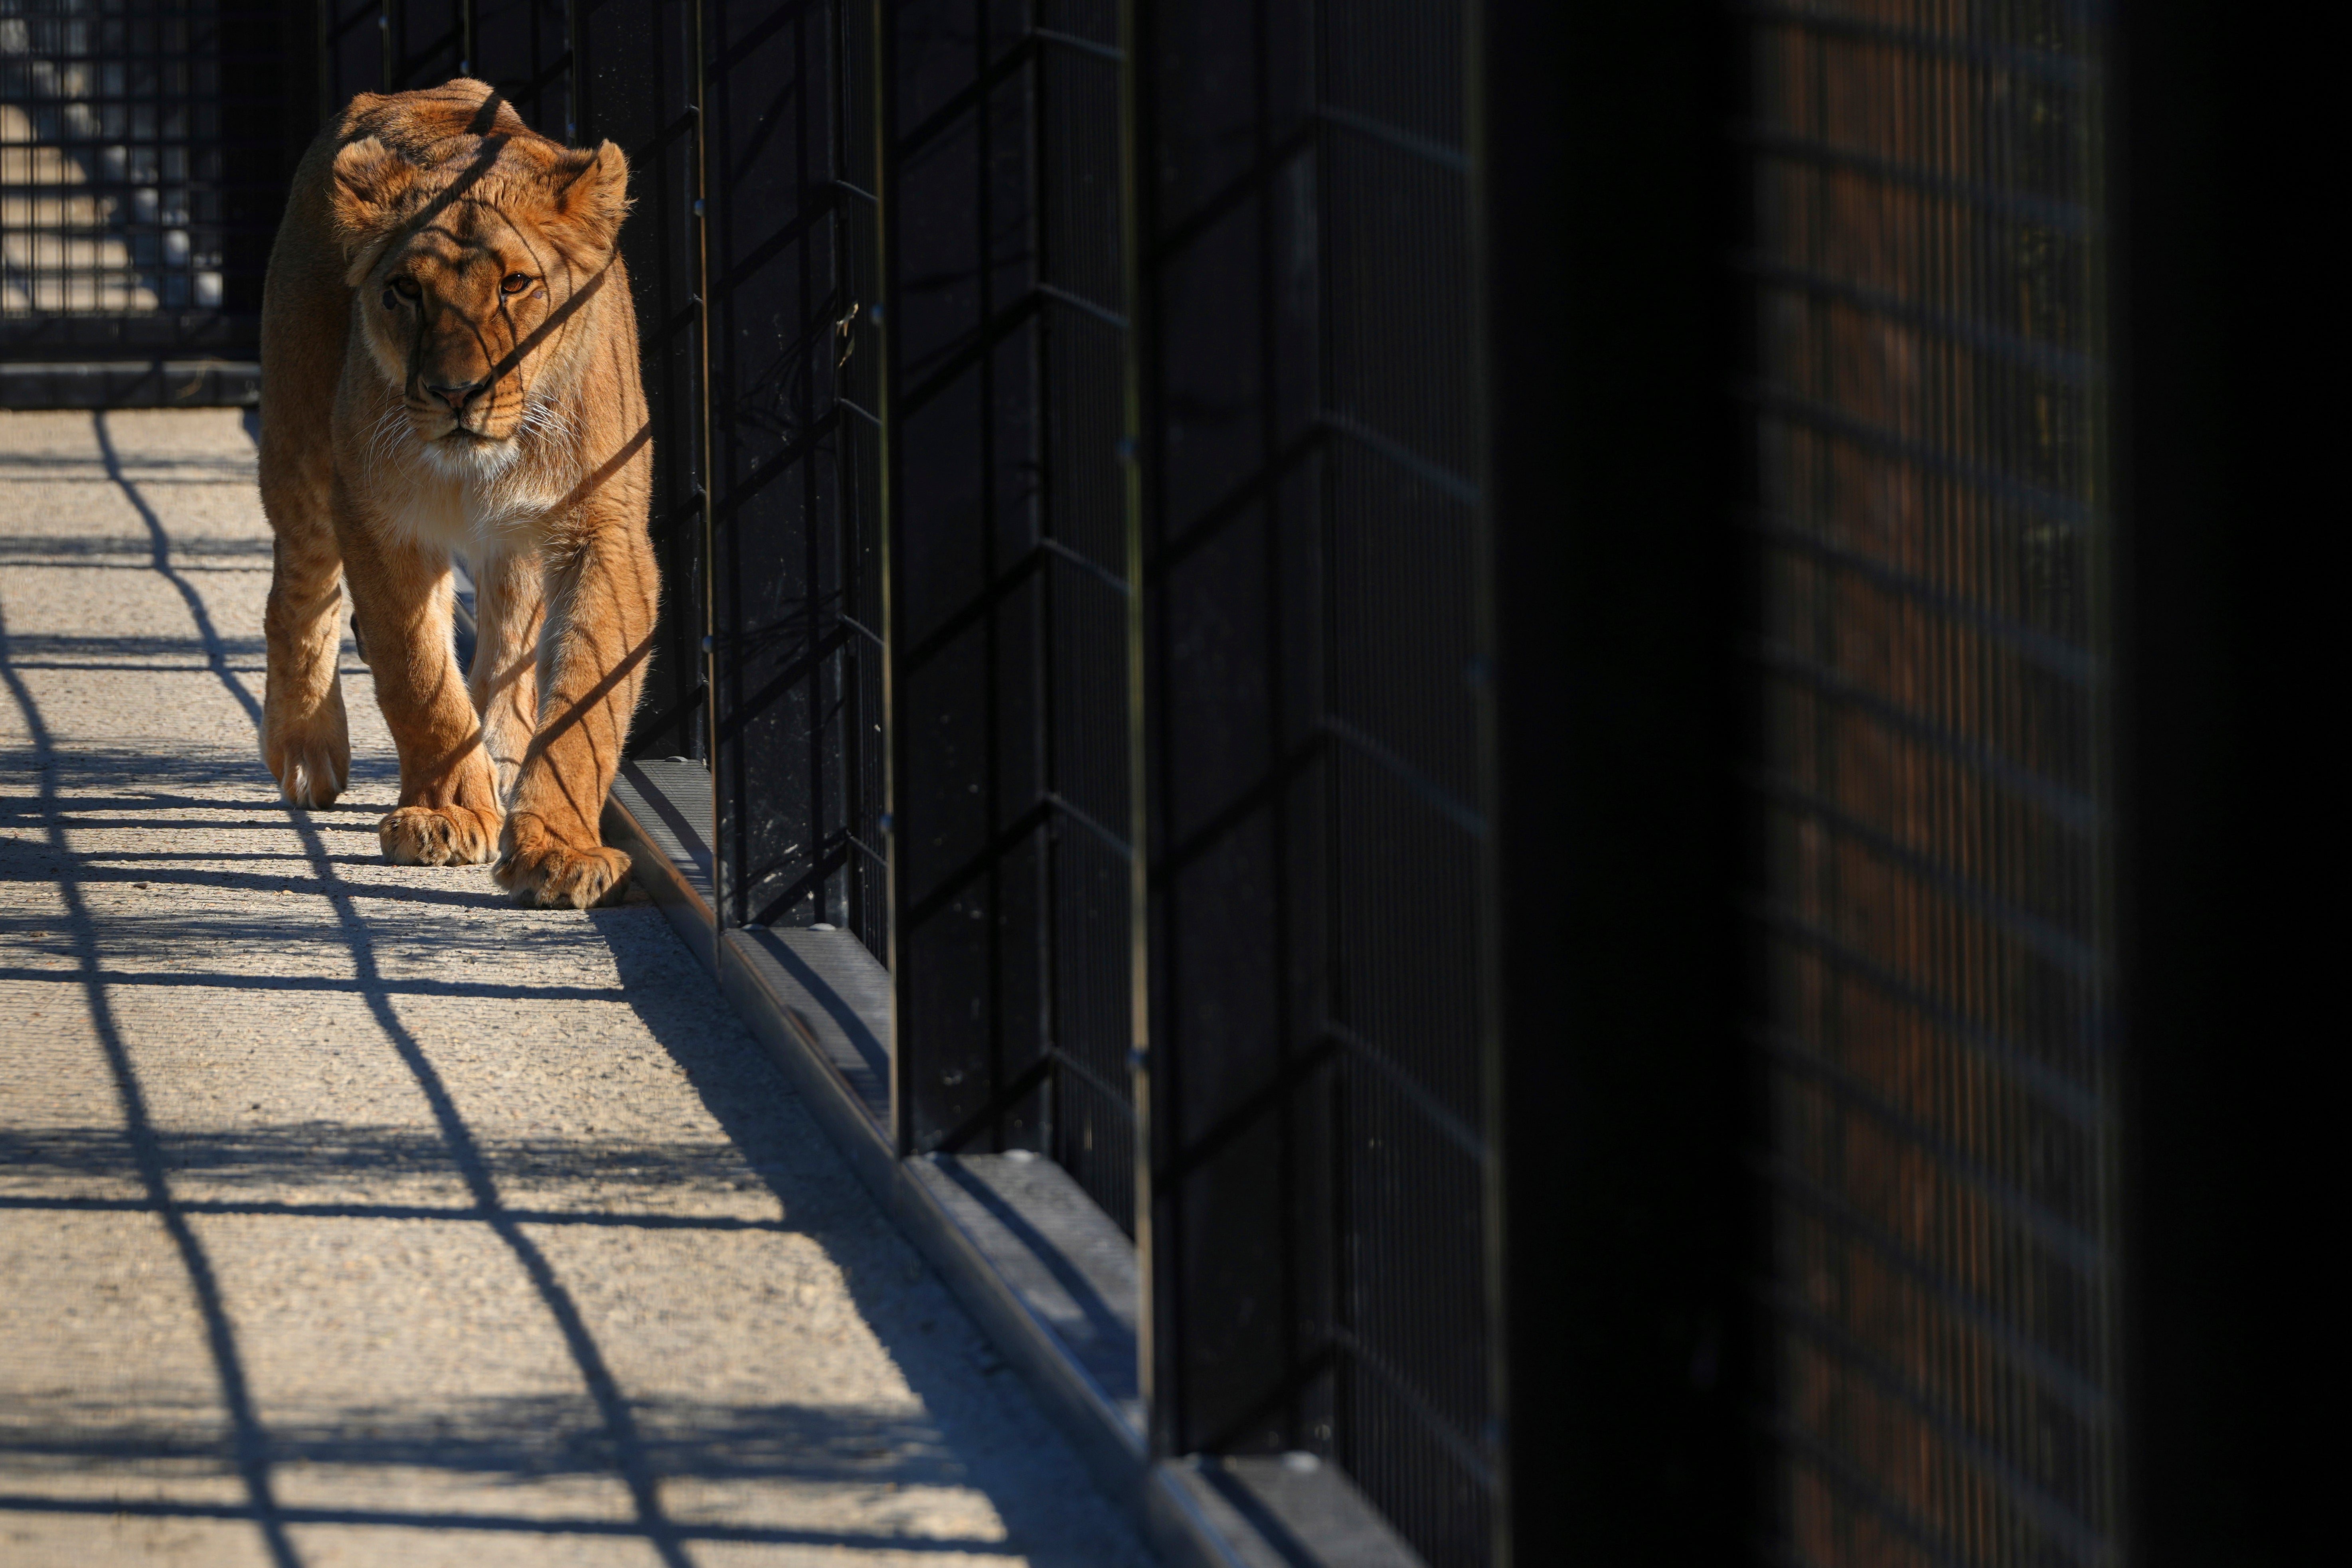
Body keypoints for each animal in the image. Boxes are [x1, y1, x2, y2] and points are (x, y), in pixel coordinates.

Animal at [255, 80, 658, 909]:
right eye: (405, 291)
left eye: (515, 284)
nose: (454, 393)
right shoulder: (379, 523)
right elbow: (419, 678)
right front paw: (442, 815)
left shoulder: (605, 535)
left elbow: (584, 703)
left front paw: (560, 850)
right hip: (302, 450)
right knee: (298, 598)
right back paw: (307, 749)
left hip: (513, 547)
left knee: (506, 647)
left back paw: (501, 763)